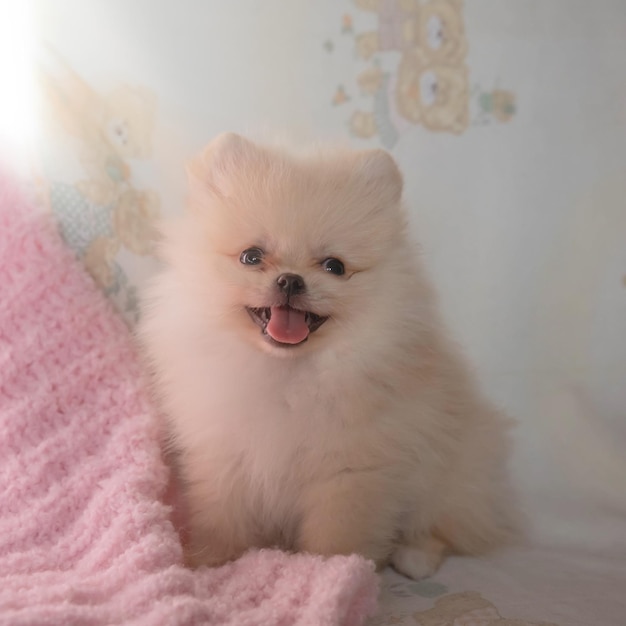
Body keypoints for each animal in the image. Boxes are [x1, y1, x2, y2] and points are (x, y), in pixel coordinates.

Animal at [141, 134, 516, 576]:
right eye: (252, 256)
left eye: (334, 266)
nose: (290, 280)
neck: (286, 375)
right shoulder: (225, 457)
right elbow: (221, 518)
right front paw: (209, 562)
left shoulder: (349, 473)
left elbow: (335, 538)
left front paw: (332, 575)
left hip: (454, 470)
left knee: (445, 522)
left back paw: (415, 556)